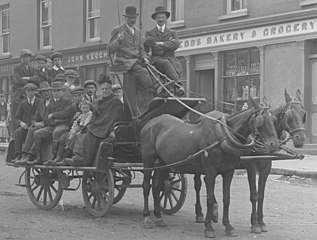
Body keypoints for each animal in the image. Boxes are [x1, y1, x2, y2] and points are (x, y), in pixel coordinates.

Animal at [139, 97, 278, 238]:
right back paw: (147, 217)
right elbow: (210, 199)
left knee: (157, 185)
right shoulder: (213, 170)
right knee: (146, 186)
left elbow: (227, 198)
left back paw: (158, 216)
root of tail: (150, 123)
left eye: (274, 119)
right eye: (260, 120)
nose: (274, 144)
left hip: (164, 162)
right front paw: (209, 228)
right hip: (149, 159)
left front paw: (228, 226)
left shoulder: (229, 171)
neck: (223, 136)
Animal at [193, 88, 306, 234]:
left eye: (303, 113)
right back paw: (200, 214)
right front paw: (255, 224)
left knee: (207, 181)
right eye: (290, 114)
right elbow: (254, 195)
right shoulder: (251, 166)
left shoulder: (266, 167)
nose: (300, 138)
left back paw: (213, 212)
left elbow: (261, 195)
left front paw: (262, 222)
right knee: (198, 184)